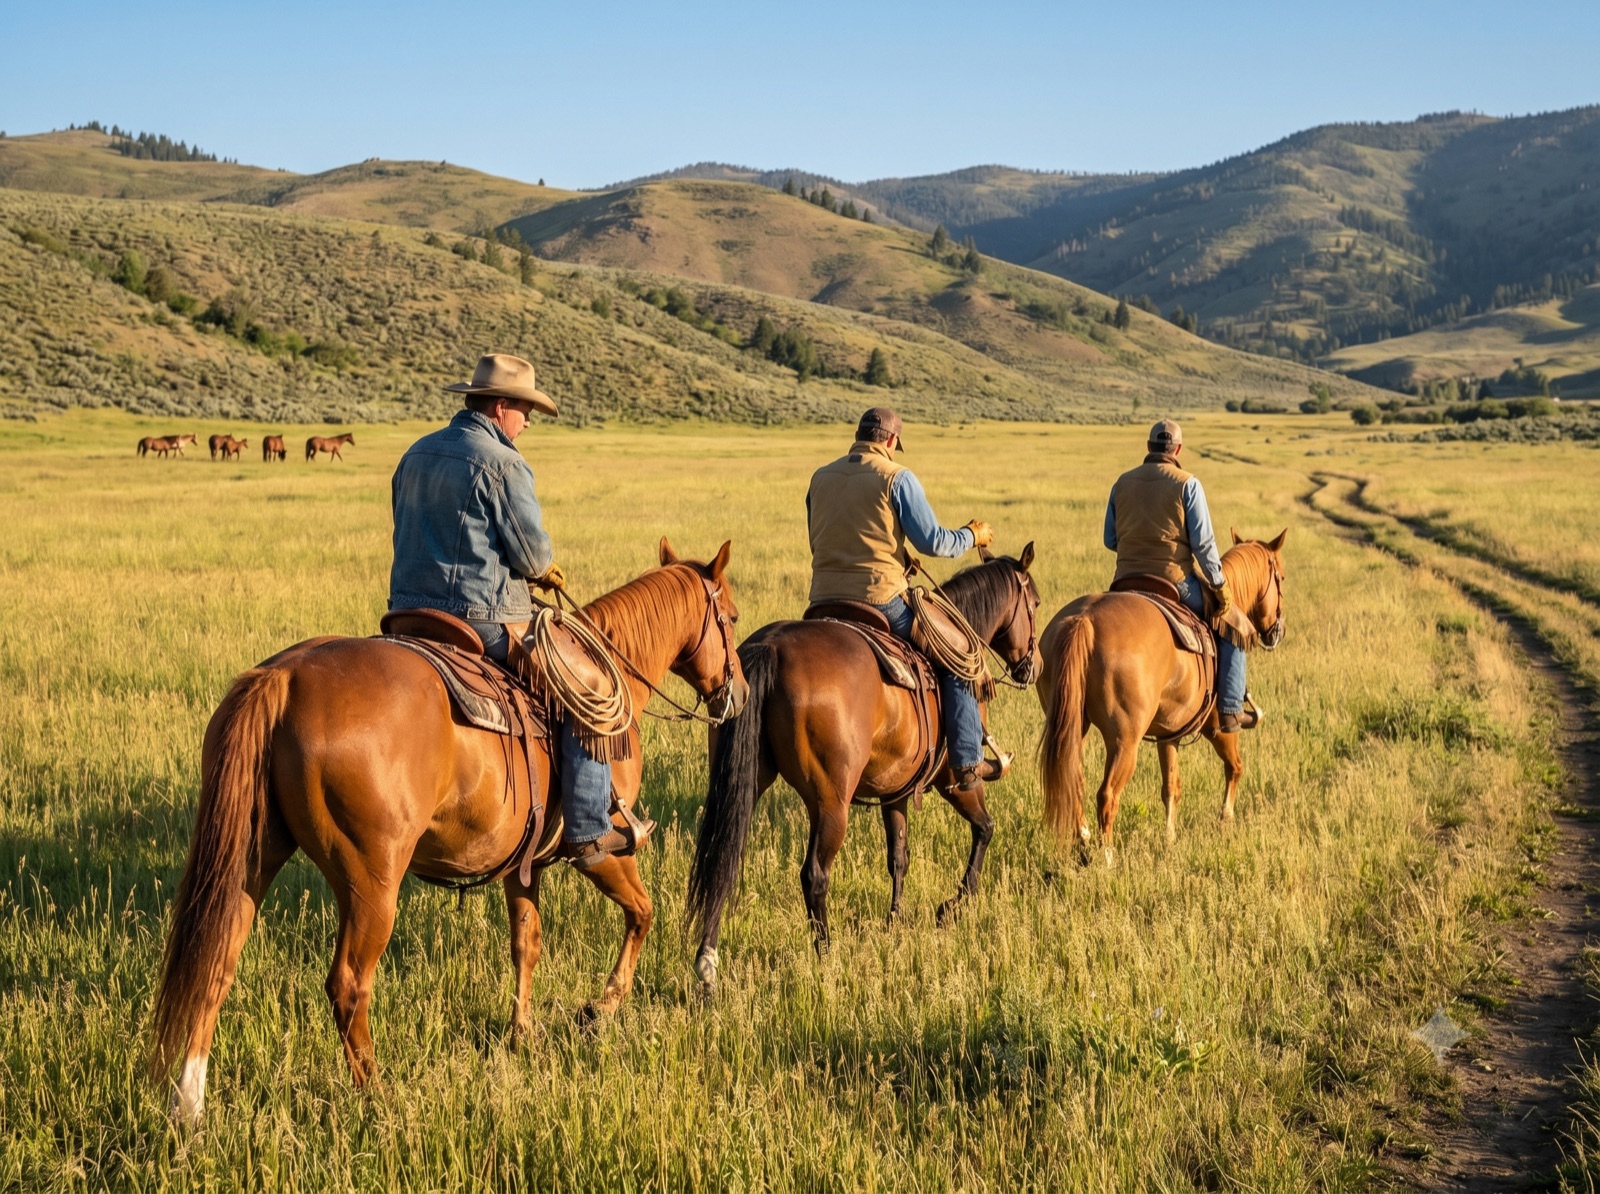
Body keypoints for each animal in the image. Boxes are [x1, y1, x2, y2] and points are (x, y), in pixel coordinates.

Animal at [149, 539, 749, 1124]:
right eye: (733, 617)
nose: (738, 694)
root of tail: (287, 677)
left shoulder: (522, 864)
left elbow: (526, 942)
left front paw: (522, 1035)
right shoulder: (603, 851)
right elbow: (642, 912)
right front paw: (597, 1010)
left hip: (254, 858)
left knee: (216, 963)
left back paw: (189, 1105)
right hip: (372, 881)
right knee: (348, 985)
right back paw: (378, 1099)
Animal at [687, 546, 1040, 992]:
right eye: (1035, 604)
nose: (1034, 666)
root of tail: (771, 647)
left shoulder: (897, 790)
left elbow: (899, 856)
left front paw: (896, 921)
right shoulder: (954, 781)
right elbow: (985, 829)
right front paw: (951, 907)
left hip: (743, 784)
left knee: (722, 862)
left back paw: (707, 965)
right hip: (831, 803)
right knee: (814, 875)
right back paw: (826, 956)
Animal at [1034, 530, 1287, 865]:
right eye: (1281, 577)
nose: (1277, 631)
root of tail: (1084, 621)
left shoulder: (1170, 734)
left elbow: (1171, 786)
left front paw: (1169, 837)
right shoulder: (1218, 728)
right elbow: (1235, 767)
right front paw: (1226, 817)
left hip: (1074, 726)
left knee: (1075, 780)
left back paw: (1084, 842)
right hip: (1124, 741)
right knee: (1107, 794)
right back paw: (1107, 857)